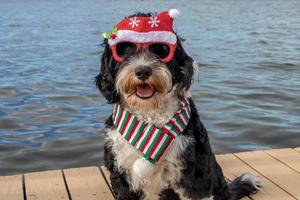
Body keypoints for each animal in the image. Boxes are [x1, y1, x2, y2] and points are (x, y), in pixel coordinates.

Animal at [95, 9, 260, 200]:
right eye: (124, 49)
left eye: (160, 49)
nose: (143, 71)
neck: (150, 116)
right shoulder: (121, 172)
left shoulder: (194, 174)